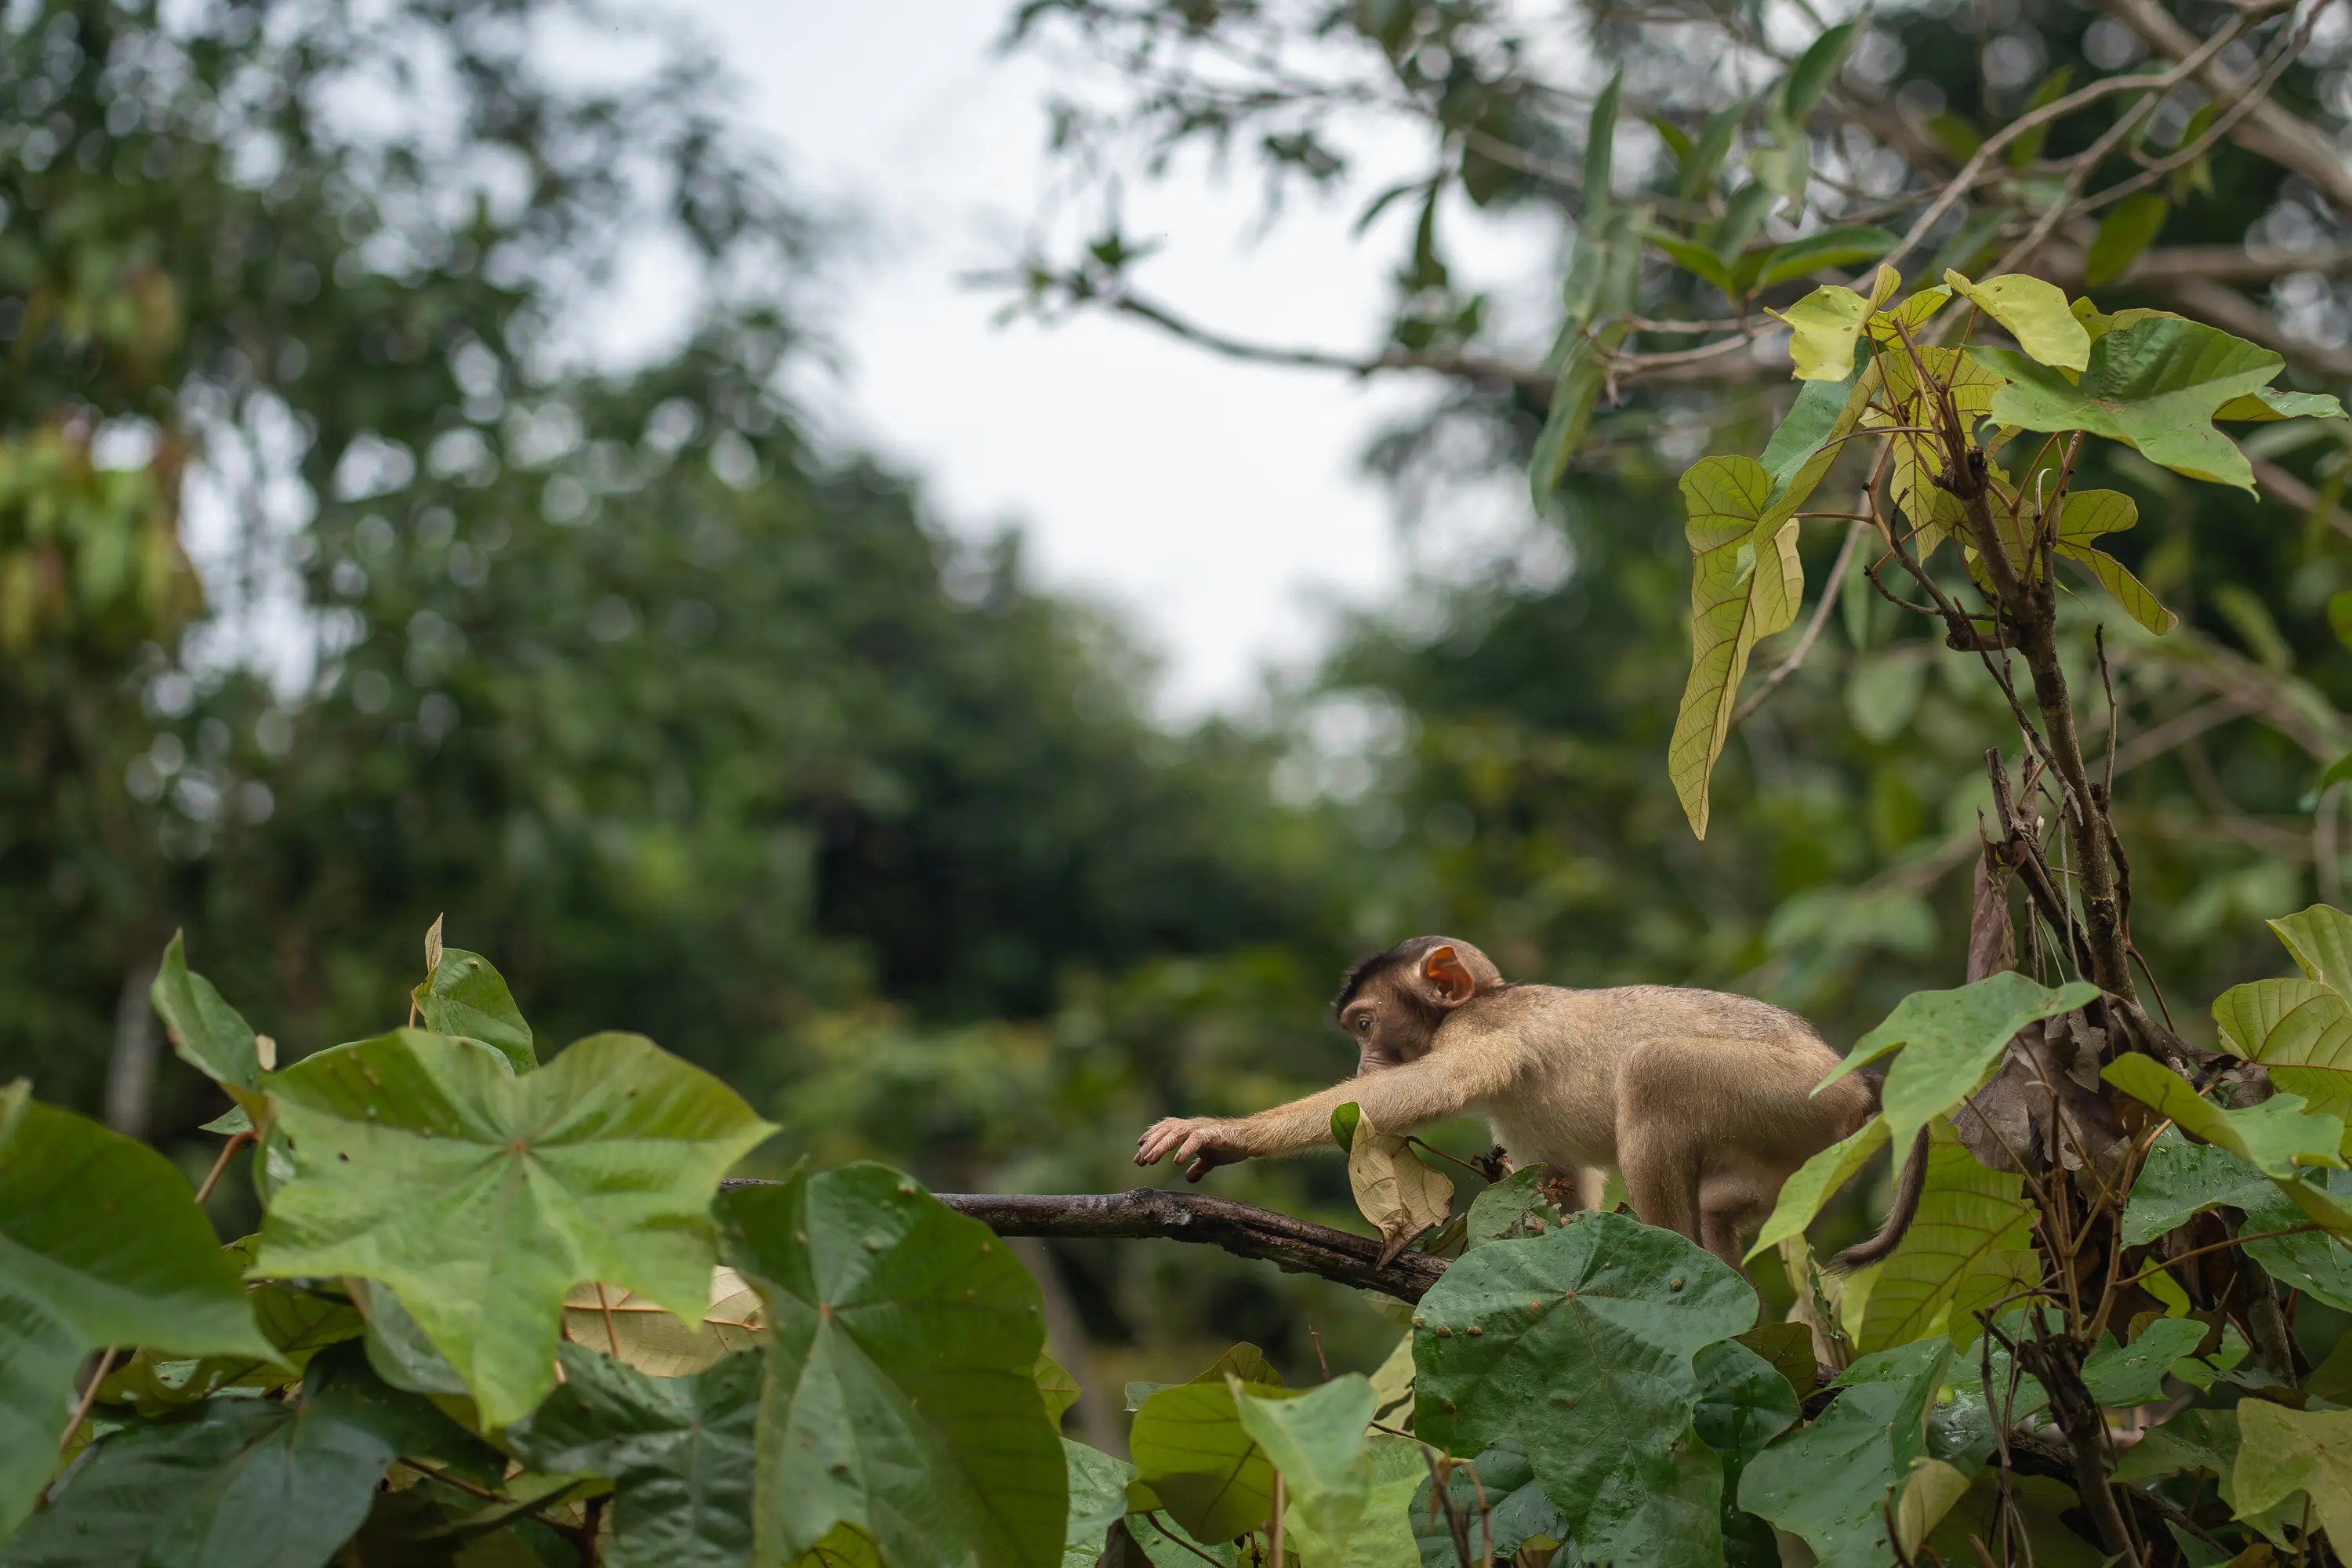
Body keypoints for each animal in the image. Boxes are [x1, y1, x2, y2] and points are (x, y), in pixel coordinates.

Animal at [1134, 935, 1925, 1276]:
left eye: (1364, 1026)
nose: (1359, 1059)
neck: (1482, 1000)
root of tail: (1852, 1077)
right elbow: (1559, 1180)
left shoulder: (1479, 1035)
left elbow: (1415, 1091)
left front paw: (1222, 1132)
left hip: (1794, 1095)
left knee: (1654, 1072)